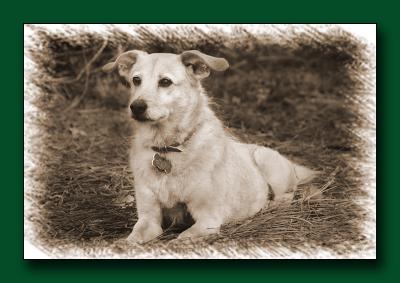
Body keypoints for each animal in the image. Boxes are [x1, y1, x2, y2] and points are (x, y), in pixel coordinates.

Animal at [102, 50, 316, 244]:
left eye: (165, 82)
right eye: (136, 80)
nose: (136, 107)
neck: (169, 148)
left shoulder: (208, 220)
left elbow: (180, 239)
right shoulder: (149, 219)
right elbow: (132, 238)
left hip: (266, 160)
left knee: (286, 196)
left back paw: (268, 205)